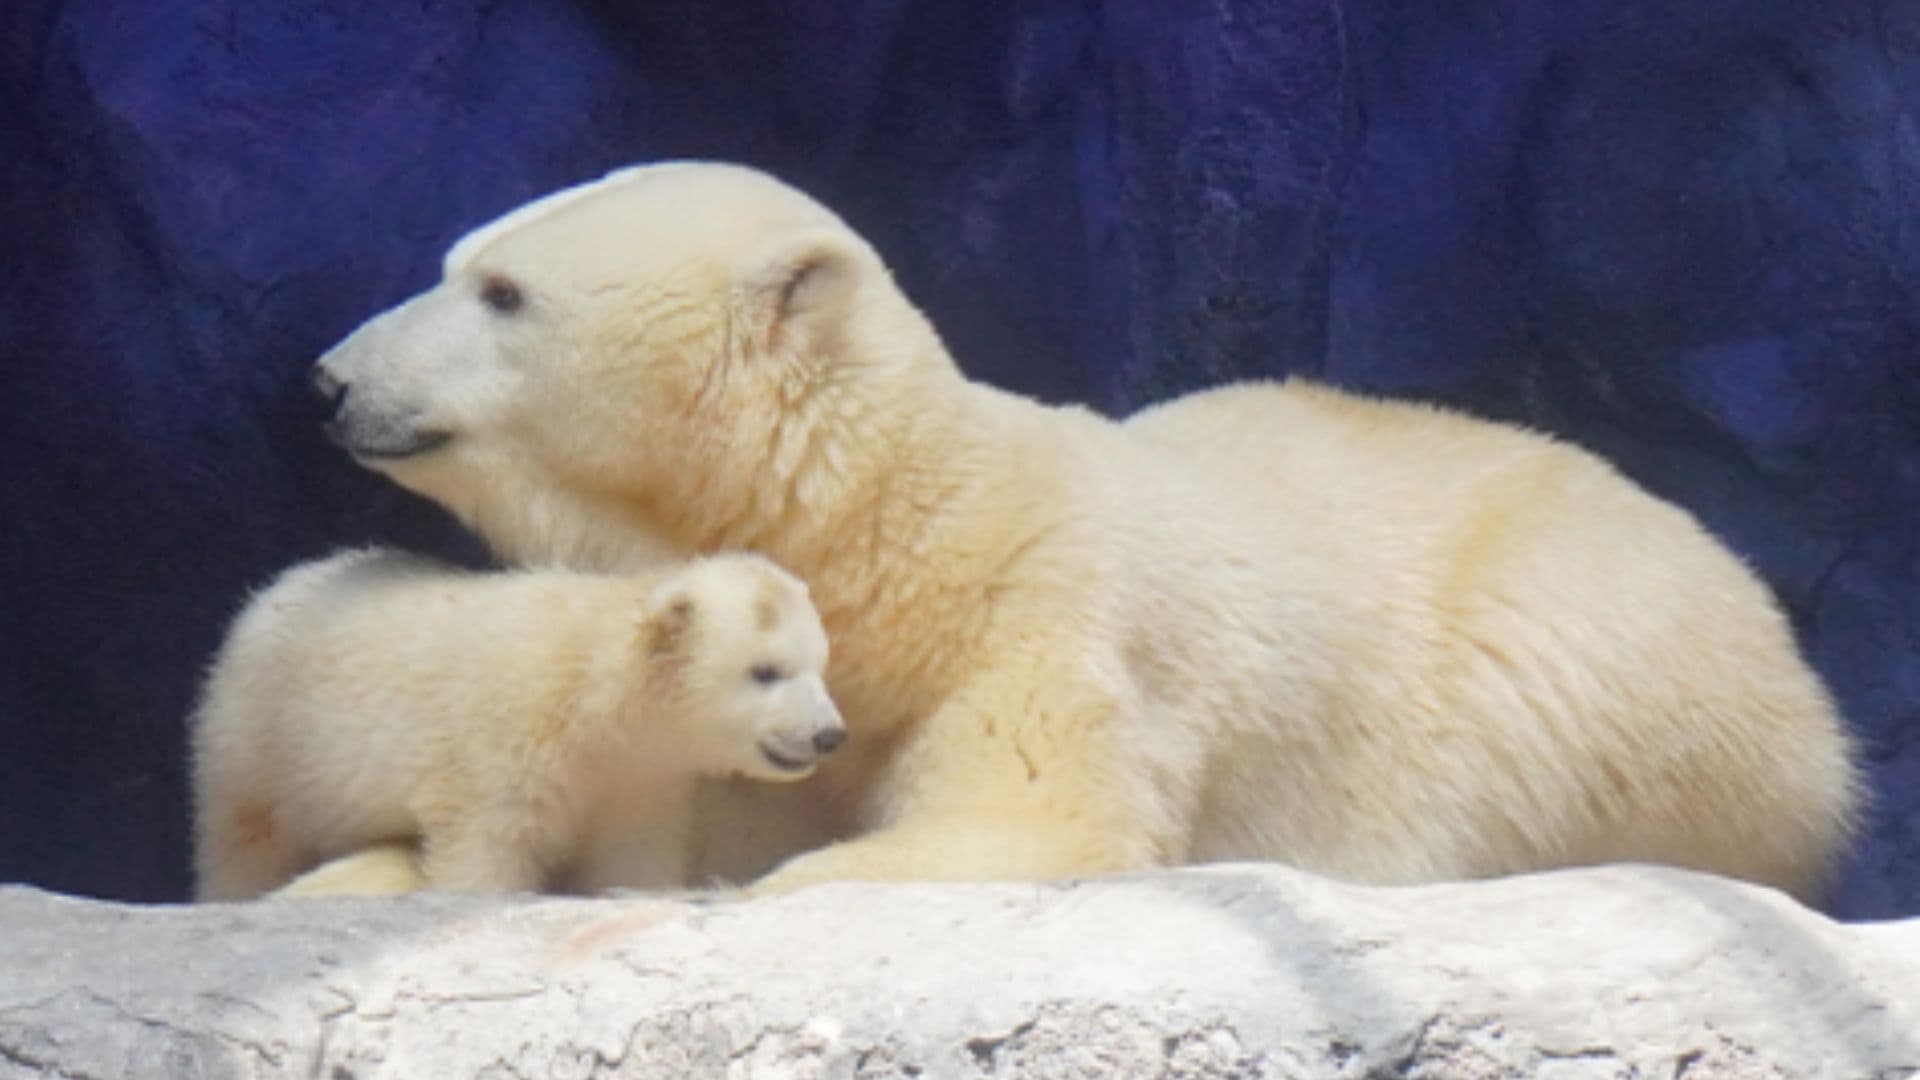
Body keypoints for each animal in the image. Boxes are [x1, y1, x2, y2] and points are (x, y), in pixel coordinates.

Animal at [190, 546, 843, 900]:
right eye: (765, 671)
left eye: (820, 663)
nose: (829, 734)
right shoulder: (499, 749)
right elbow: (485, 849)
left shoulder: (634, 780)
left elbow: (631, 852)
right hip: (262, 734)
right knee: (245, 836)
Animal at [309, 160, 1861, 900]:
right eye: (460, 261)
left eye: (502, 293)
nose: (329, 378)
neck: (888, 544)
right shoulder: (701, 696)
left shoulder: (1047, 616)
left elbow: (1031, 815)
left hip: (1615, 679)